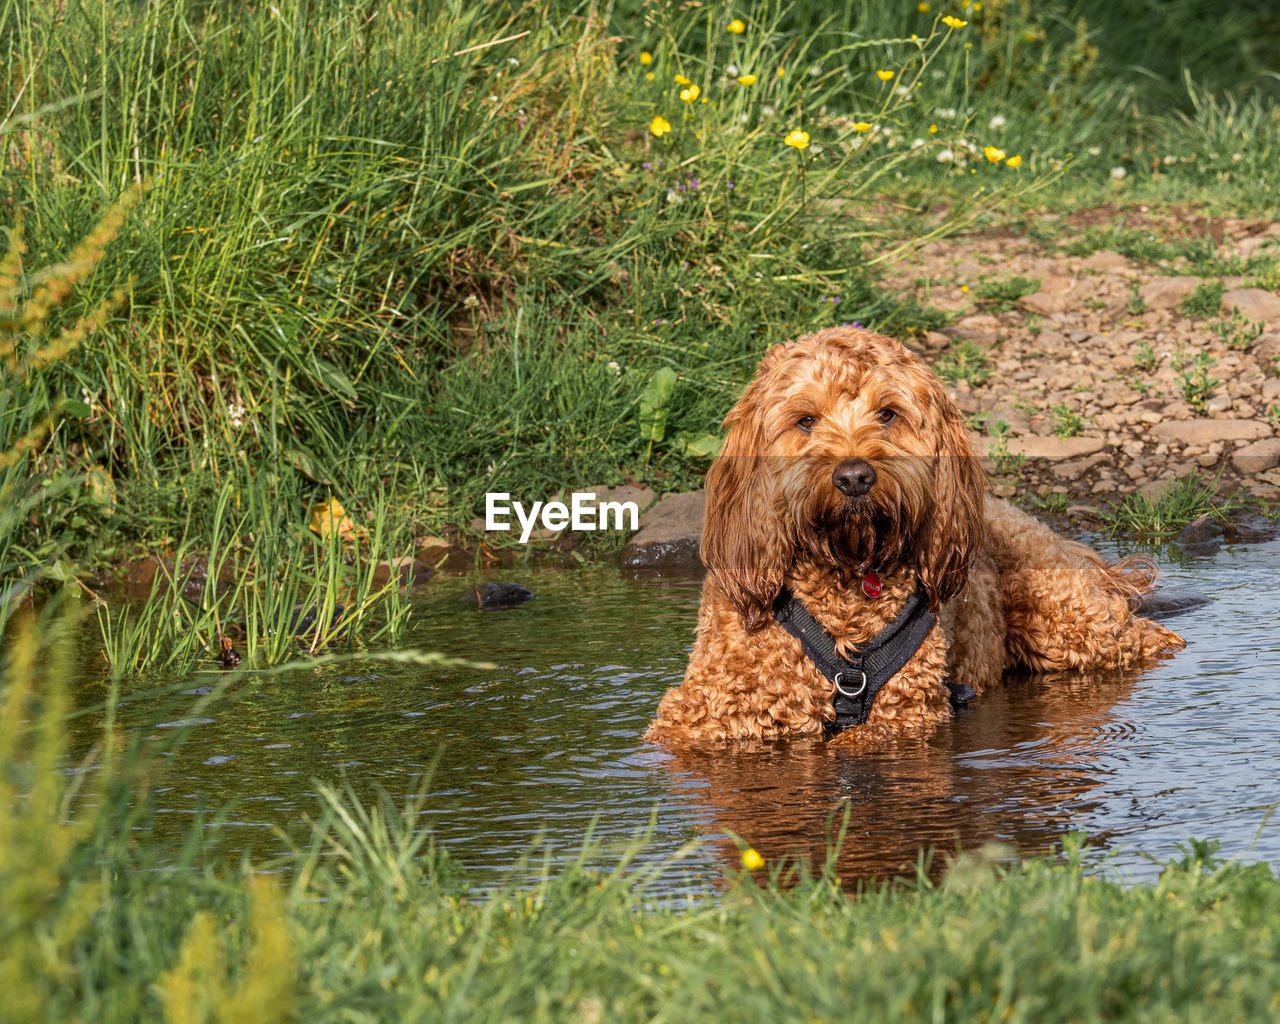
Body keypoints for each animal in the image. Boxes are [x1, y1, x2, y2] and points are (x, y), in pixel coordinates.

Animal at [645, 327, 1182, 752]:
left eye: (887, 414)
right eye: (805, 420)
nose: (855, 477)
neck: (845, 582)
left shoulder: (908, 715)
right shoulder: (700, 715)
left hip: (1068, 622)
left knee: (1147, 638)